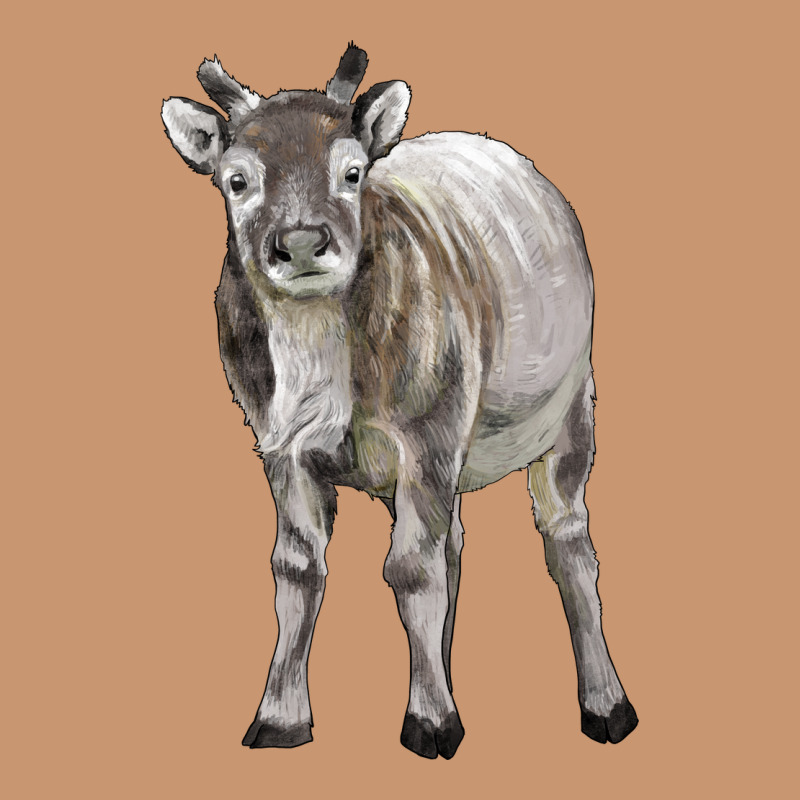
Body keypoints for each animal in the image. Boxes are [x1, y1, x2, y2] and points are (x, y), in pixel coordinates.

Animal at [161, 44, 638, 760]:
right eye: (236, 179)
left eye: (352, 171)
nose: (300, 242)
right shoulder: (280, 448)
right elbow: (297, 567)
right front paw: (280, 718)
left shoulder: (428, 434)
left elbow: (410, 569)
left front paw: (430, 720)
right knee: (454, 546)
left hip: (572, 406)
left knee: (568, 539)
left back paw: (605, 704)